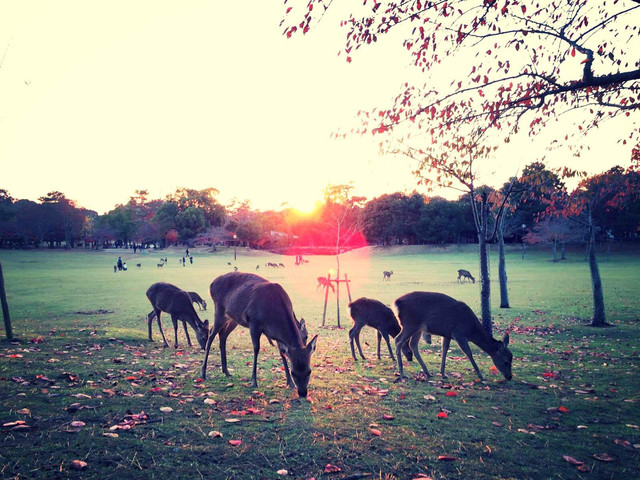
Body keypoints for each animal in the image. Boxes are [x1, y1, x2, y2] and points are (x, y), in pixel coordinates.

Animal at [202, 272, 318, 400]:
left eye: (309, 371)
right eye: (294, 372)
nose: (302, 393)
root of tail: (212, 284)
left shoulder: (277, 335)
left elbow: (282, 353)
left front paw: (290, 383)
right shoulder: (254, 323)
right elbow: (256, 349)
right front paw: (254, 381)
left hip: (233, 318)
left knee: (223, 334)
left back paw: (226, 371)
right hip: (219, 310)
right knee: (211, 334)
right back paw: (203, 372)